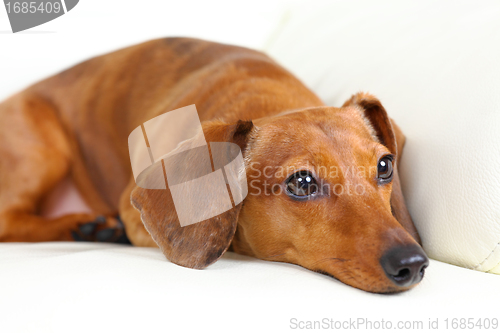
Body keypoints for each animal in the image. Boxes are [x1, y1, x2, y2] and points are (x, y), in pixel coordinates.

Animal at [0, 37, 430, 294]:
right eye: (302, 182)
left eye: (385, 166)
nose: (412, 264)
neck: (268, 100)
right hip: (45, 153)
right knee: (10, 221)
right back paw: (83, 226)